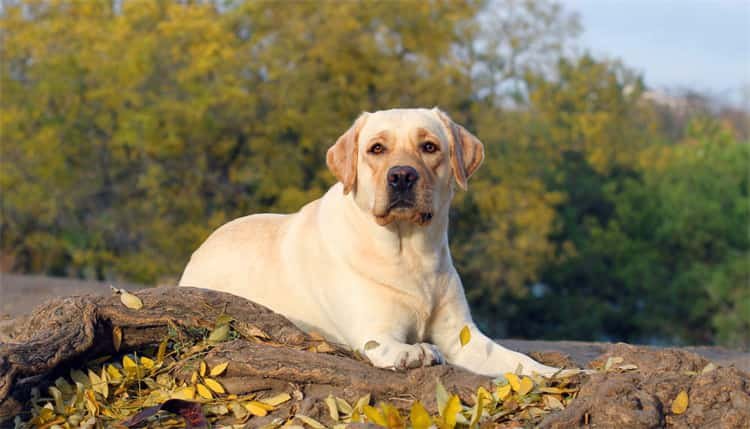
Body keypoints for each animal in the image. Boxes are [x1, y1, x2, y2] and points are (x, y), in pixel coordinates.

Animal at [181, 108, 560, 376]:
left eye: (429, 147)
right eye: (376, 149)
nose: (402, 175)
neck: (410, 252)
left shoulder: (463, 338)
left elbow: (519, 362)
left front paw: (556, 373)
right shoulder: (374, 331)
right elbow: (396, 346)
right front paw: (417, 352)